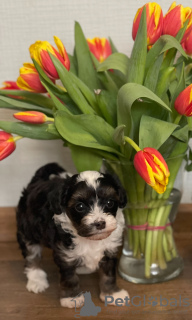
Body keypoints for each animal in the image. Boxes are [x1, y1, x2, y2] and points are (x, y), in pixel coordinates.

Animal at [16, 162, 130, 308]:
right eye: (80, 206)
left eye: (110, 203)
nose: (100, 223)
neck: (89, 238)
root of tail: (36, 181)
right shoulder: (65, 255)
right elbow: (69, 278)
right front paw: (71, 298)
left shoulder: (109, 250)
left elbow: (108, 274)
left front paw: (112, 294)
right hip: (28, 230)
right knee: (32, 254)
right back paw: (36, 279)